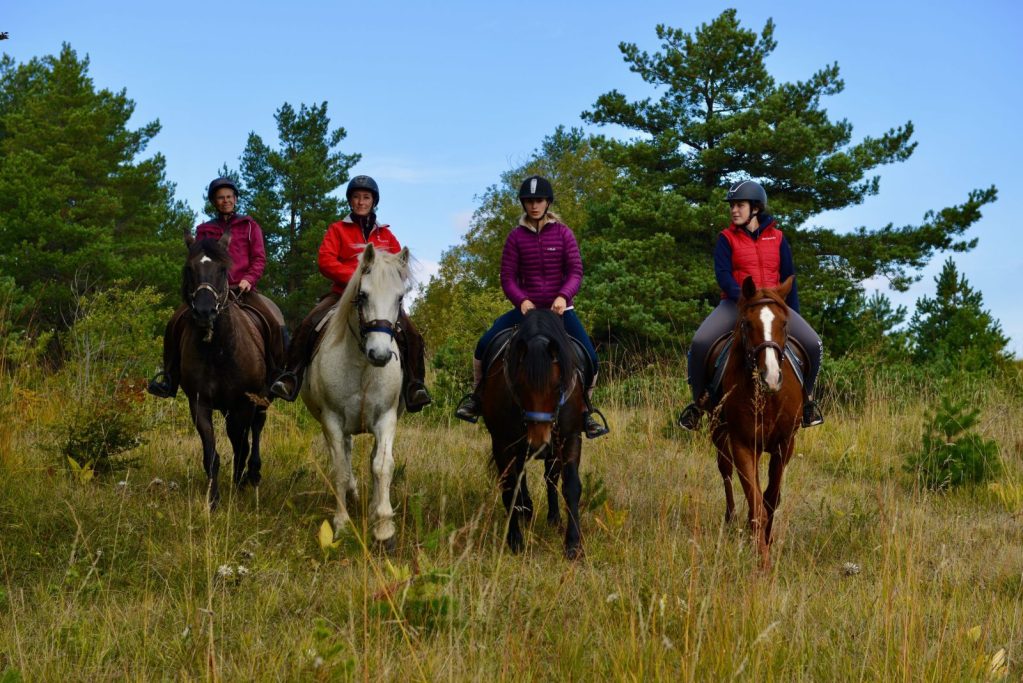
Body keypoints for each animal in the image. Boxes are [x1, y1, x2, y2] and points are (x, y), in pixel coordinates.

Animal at [177, 233, 279, 508]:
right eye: (189, 269)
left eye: (223, 269)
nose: (205, 311)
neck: (218, 350)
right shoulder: (199, 403)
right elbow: (211, 453)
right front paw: (213, 499)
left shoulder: (243, 403)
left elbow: (241, 443)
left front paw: (239, 483)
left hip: (261, 399)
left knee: (257, 427)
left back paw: (253, 473)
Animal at [302, 244, 411, 550]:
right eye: (362, 295)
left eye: (400, 297)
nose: (381, 354)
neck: (363, 366)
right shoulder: (332, 420)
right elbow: (340, 469)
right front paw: (341, 523)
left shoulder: (386, 419)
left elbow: (382, 466)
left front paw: (384, 527)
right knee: (344, 455)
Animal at [480, 308, 587, 559]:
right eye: (518, 386)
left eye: (558, 386)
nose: (539, 442)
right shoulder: (502, 443)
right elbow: (509, 487)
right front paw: (515, 541)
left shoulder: (570, 437)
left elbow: (571, 486)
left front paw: (573, 545)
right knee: (521, 475)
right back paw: (525, 510)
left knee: (550, 477)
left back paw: (553, 519)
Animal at [709, 275, 804, 568]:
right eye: (747, 324)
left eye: (783, 323)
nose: (770, 376)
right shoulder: (742, 444)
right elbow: (755, 504)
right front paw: (760, 559)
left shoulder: (785, 444)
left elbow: (770, 500)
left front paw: (768, 541)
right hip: (718, 433)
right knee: (725, 471)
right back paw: (730, 521)